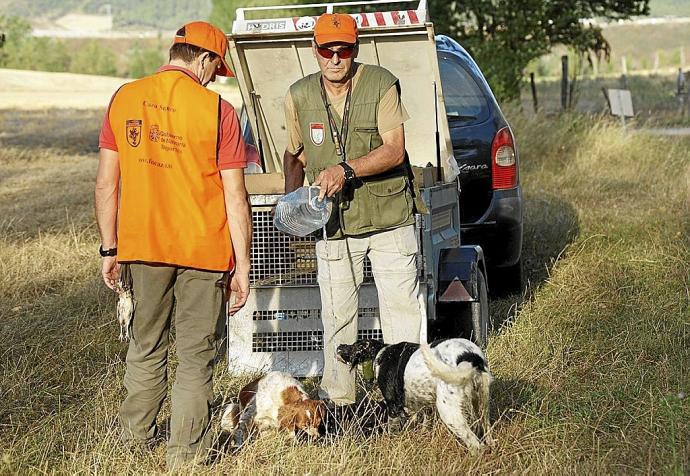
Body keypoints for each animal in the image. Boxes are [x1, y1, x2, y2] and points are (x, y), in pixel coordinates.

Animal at [336, 336, 492, 452]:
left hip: (449, 412)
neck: (380, 355)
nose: (339, 346)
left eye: (354, 346)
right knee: (486, 432)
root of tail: (470, 356)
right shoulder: (423, 405)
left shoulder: (393, 406)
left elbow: (393, 428)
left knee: (476, 445)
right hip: (482, 404)